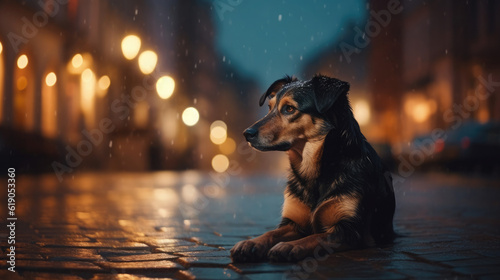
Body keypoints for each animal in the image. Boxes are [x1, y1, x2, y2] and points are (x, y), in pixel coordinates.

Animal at [229, 74, 394, 262]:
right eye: (269, 108)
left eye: (289, 109)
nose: (246, 133)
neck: (315, 168)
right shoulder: (292, 223)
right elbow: (271, 233)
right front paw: (251, 242)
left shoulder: (350, 230)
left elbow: (317, 236)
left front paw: (290, 246)